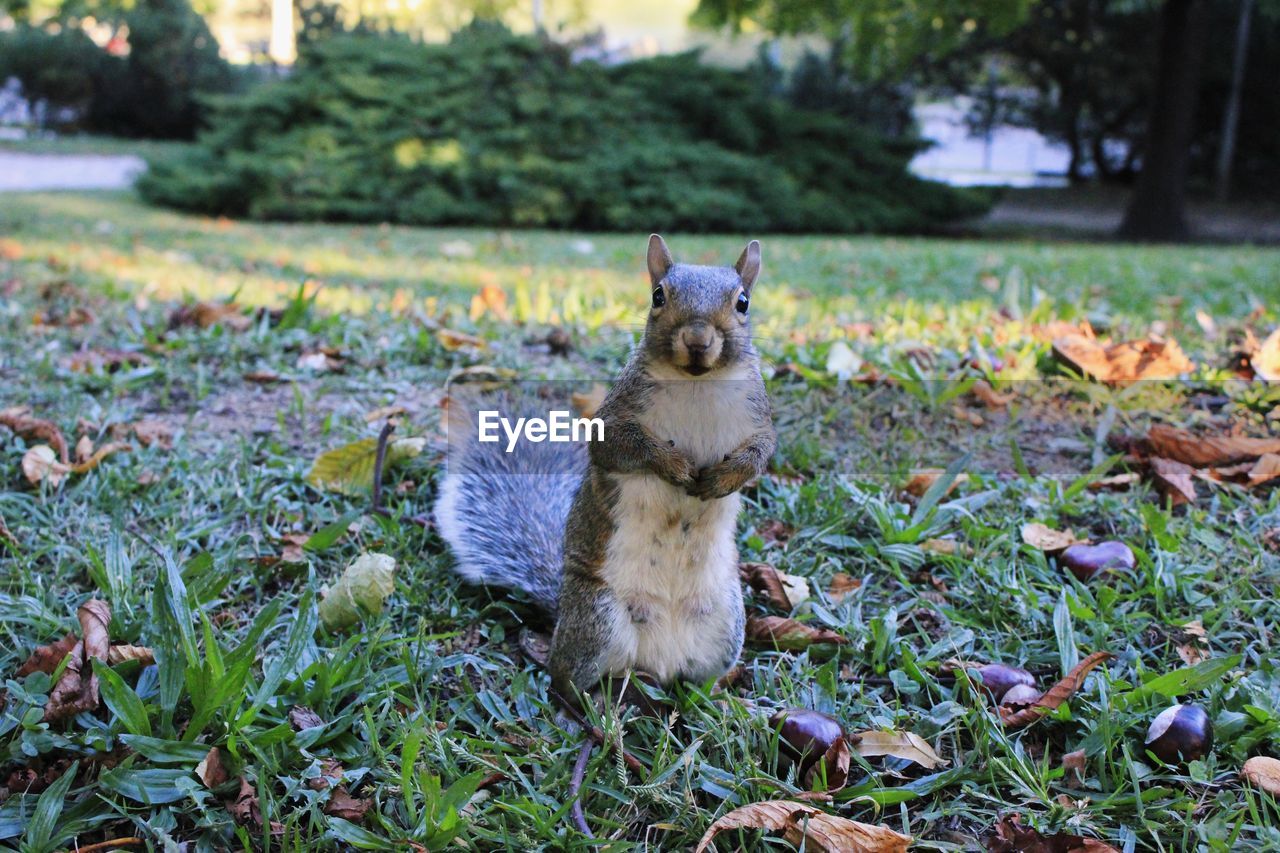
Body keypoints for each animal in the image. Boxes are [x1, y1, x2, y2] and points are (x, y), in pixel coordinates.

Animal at [435, 234, 773, 696]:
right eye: (658, 296)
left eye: (743, 302)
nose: (697, 339)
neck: (696, 384)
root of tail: (659, 662)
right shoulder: (615, 417)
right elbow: (619, 447)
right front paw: (673, 465)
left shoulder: (758, 419)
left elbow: (760, 454)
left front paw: (725, 478)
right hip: (598, 618)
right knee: (567, 678)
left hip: (722, 624)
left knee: (699, 678)